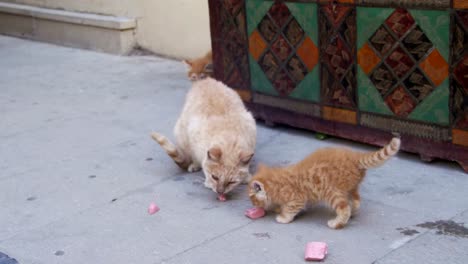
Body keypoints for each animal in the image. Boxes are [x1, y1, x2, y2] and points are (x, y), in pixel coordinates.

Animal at [249, 138, 398, 229]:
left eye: (253, 199)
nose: (254, 205)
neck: (277, 183)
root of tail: (354, 156)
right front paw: (279, 208)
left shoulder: (297, 198)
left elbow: (291, 209)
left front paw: (284, 217)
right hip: (350, 187)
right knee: (356, 201)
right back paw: (353, 212)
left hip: (332, 192)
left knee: (344, 208)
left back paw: (337, 222)